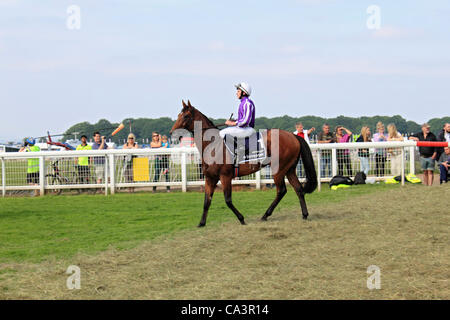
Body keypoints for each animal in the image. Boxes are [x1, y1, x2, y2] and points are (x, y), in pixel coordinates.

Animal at [169, 100, 316, 228]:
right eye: (179, 115)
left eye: (186, 116)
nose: (172, 133)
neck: (213, 145)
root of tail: (294, 136)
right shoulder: (210, 178)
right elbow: (206, 201)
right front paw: (201, 223)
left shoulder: (225, 176)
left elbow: (228, 200)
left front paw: (241, 219)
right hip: (289, 169)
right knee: (298, 189)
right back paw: (304, 214)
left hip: (278, 170)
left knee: (281, 190)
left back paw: (265, 215)